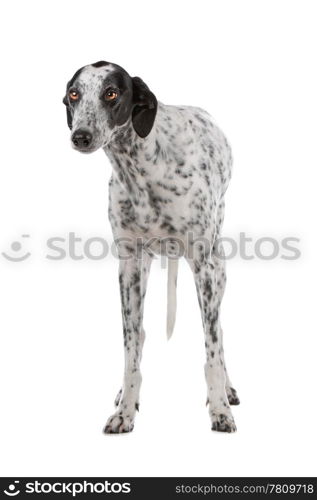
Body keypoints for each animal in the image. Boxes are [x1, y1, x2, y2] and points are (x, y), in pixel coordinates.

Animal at [62, 60, 239, 432]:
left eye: (111, 92)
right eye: (74, 93)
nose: (80, 136)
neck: (141, 167)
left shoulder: (204, 269)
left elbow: (211, 346)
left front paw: (219, 408)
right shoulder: (128, 267)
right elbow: (131, 346)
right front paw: (125, 410)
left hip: (218, 268)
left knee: (219, 333)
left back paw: (227, 389)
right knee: (140, 337)